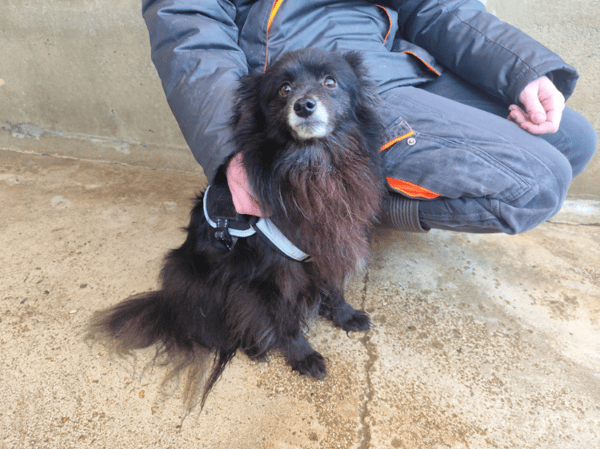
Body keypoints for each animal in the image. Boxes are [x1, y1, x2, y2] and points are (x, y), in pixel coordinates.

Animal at [90, 48, 384, 410]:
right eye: (284, 89)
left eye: (330, 82)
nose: (304, 105)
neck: (313, 167)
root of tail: (169, 303)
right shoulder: (272, 276)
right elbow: (286, 320)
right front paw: (302, 356)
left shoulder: (327, 243)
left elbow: (334, 289)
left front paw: (345, 315)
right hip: (206, 282)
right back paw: (255, 347)